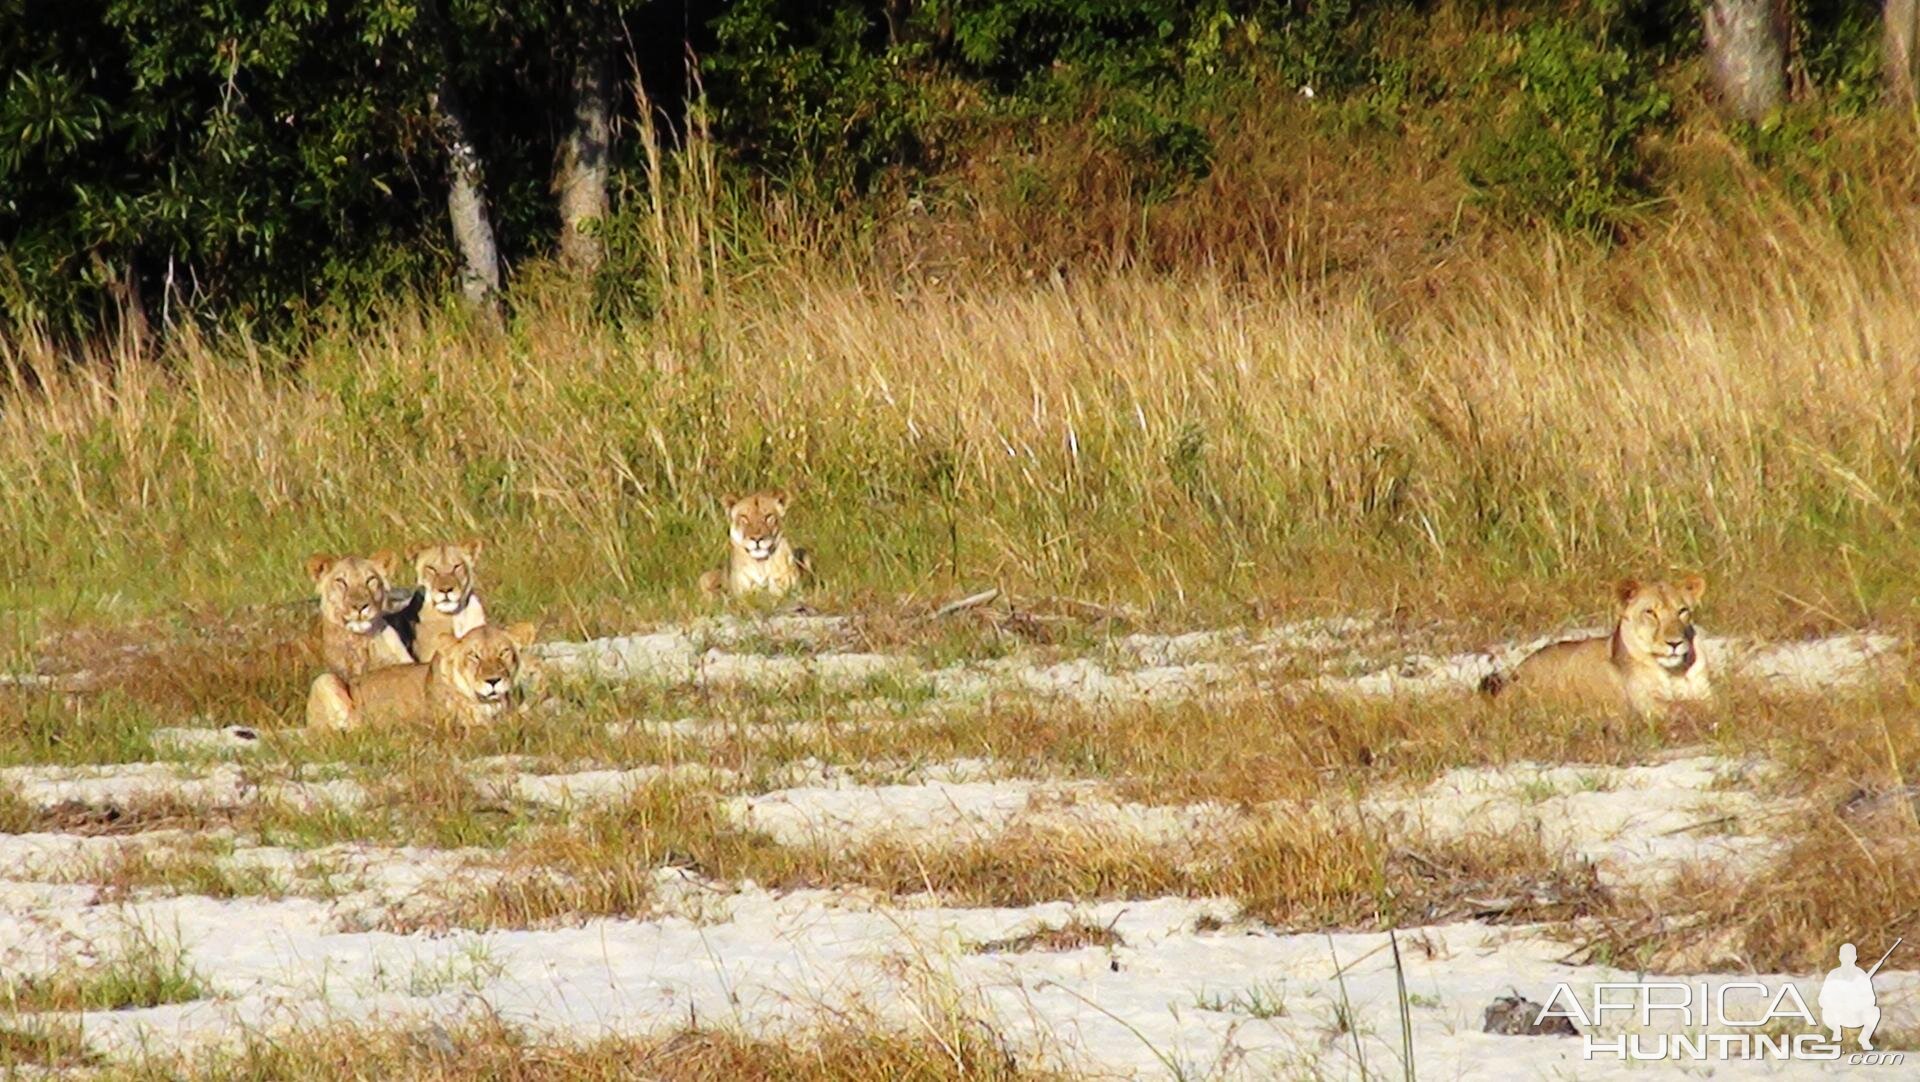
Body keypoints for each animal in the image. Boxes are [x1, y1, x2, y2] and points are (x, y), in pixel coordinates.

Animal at [1482, 575, 1712, 717]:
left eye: (1682, 611)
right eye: (1650, 613)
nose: (1674, 643)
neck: (1675, 671)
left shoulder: (1704, 691)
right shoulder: (1645, 703)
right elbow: (1681, 706)